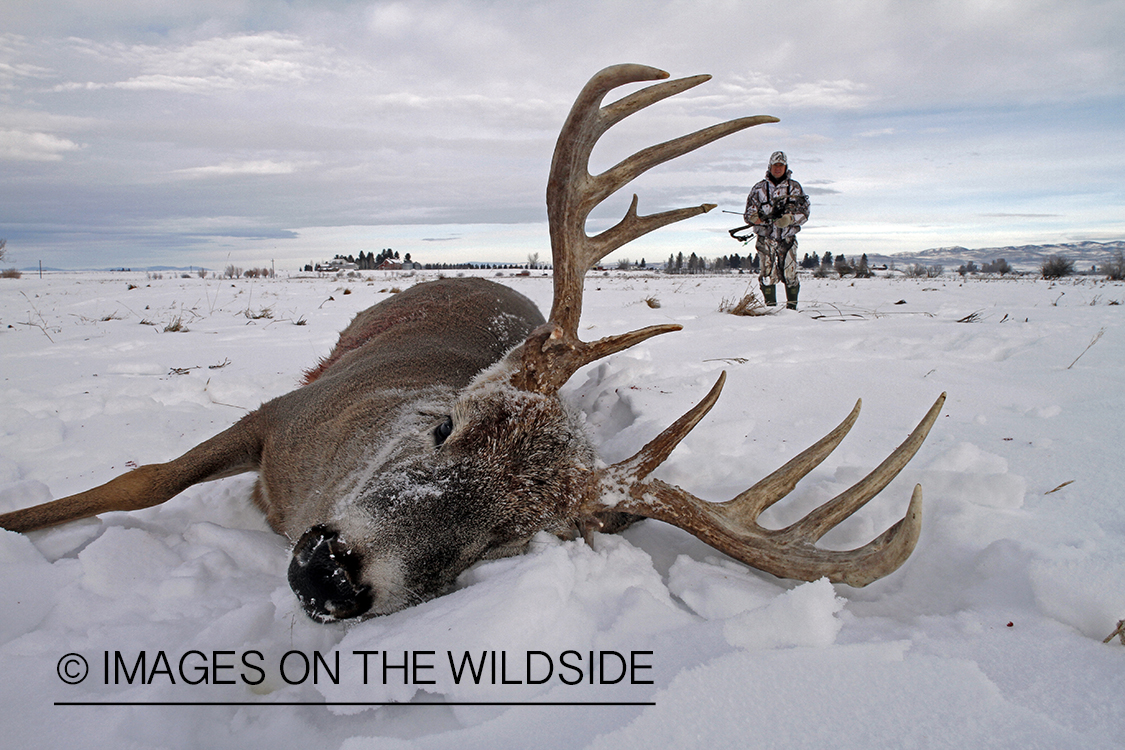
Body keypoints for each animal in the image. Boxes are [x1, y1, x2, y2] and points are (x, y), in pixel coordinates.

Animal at [0, 64, 945, 623]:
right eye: (443, 427)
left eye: (508, 535)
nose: (333, 571)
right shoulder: (280, 411)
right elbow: (142, 481)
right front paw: (15, 522)